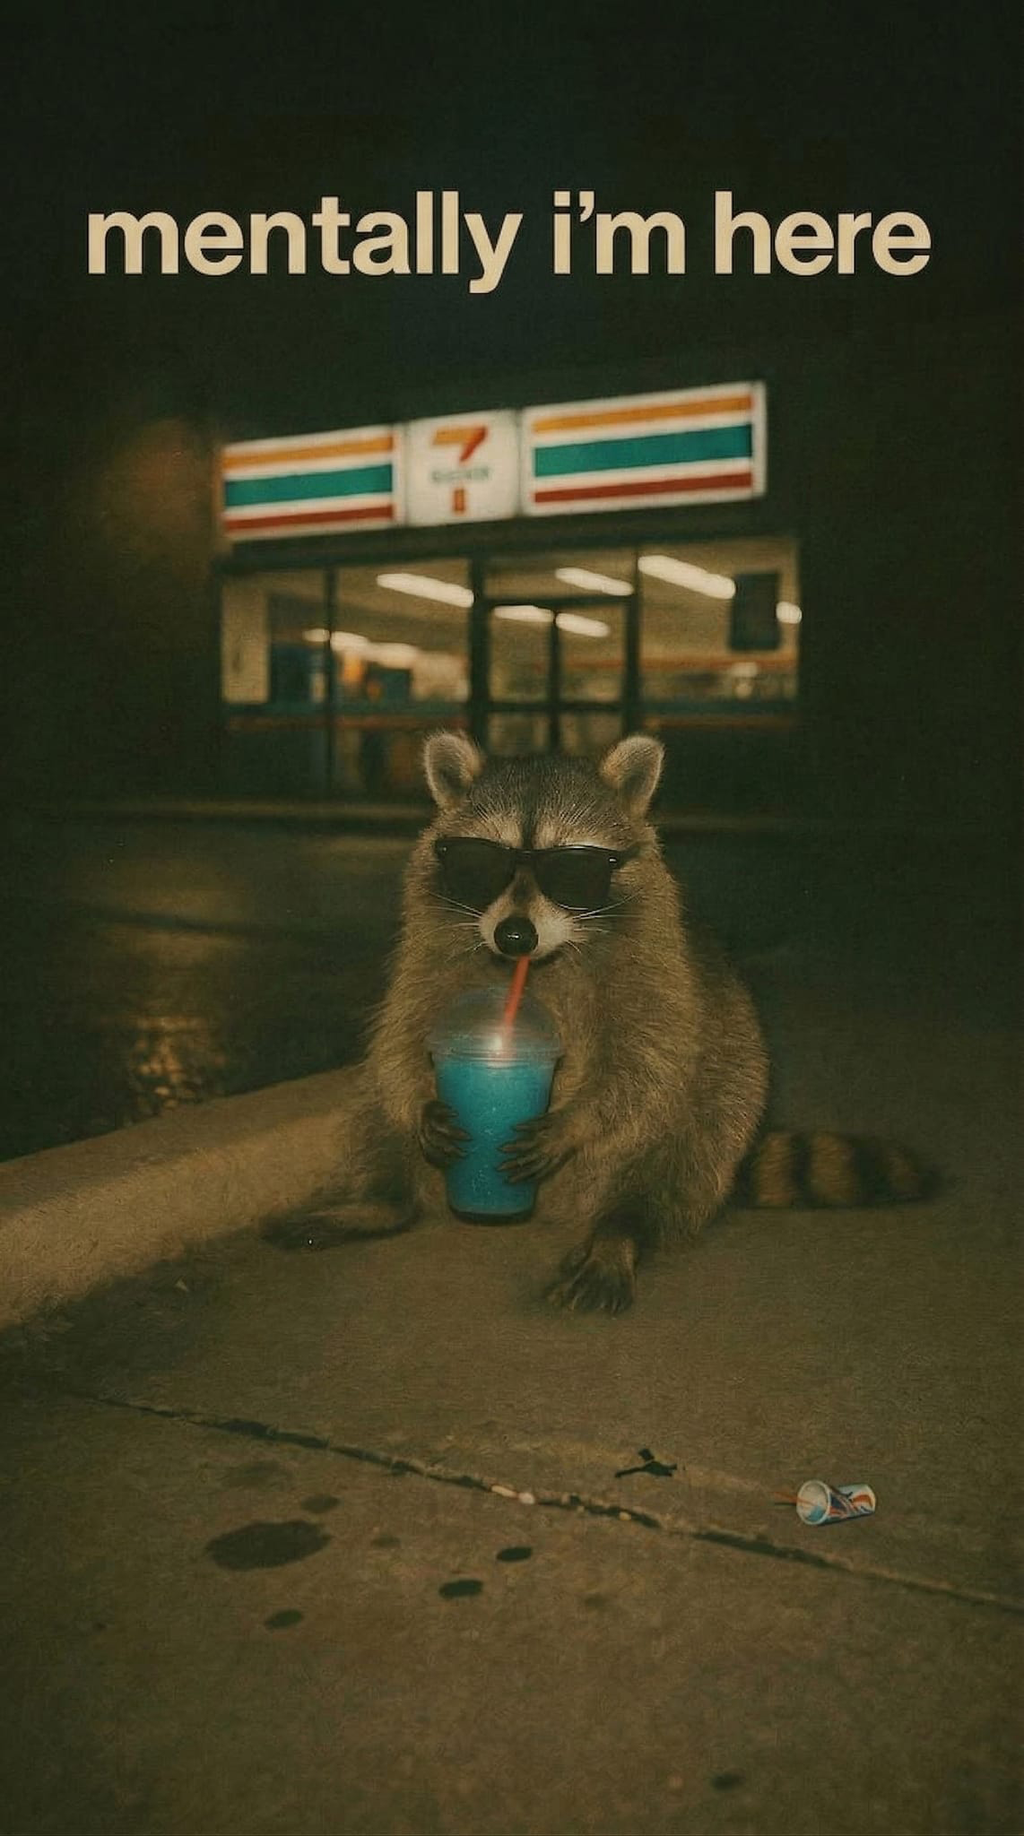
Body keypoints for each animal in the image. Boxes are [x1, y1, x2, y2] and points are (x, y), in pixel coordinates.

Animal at [273, 732, 929, 1311]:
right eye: (481, 863)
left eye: (572, 870)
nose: (514, 936)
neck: (539, 962)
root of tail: (558, 1209)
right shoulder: (427, 956)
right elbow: (400, 1040)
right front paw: (420, 1104)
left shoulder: (660, 970)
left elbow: (647, 1060)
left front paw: (577, 1123)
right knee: (375, 1104)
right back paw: (384, 1198)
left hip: (722, 1098)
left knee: (683, 1141)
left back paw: (620, 1232)